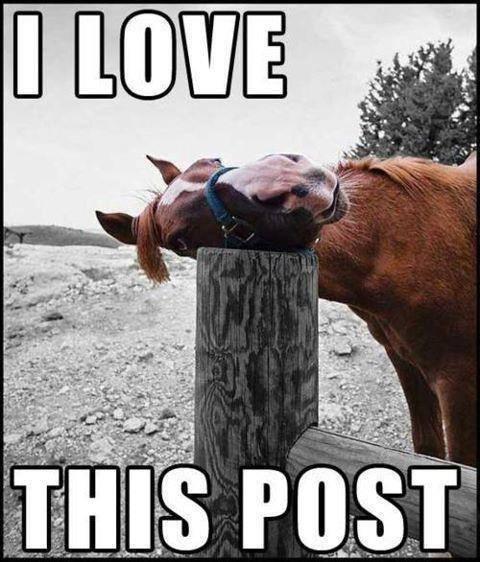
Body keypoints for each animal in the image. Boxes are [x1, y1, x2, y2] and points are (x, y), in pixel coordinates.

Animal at [96, 150, 476, 464]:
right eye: (180, 241)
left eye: (213, 162)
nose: (294, 181)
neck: (395, 244)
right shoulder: (410, 365)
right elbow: (429, 449)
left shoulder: (457, 380)